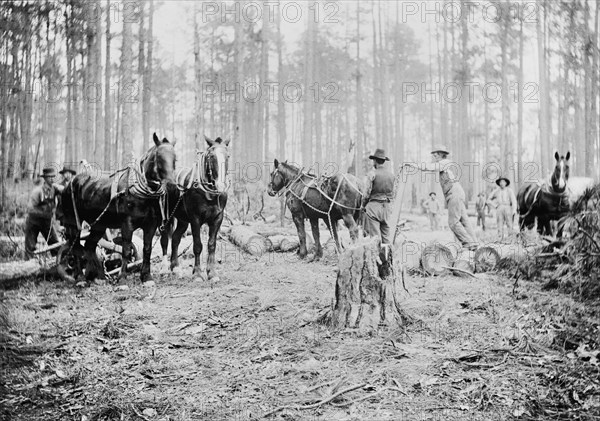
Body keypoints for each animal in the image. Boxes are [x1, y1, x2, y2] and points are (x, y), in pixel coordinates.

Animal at [57, 131, 177, 282]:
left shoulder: (151, 224)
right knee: (76, 247)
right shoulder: (126, 223)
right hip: (73, 222)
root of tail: (70, 183)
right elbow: (126, 250)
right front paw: (123, 278)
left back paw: (100, 277)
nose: (172, 186)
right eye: (159, 157)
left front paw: (146, 276)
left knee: (89, 247)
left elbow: (147, 249)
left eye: (175, 159)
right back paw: (80, 278)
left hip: (99, 225)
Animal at [159, 135, 230, 278]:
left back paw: (175, 267)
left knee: (175, 238)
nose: (220, 186)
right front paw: (197, 273)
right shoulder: (195, 219)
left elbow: (212, 245)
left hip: (182, 220)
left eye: (228, 156)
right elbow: (197, 245)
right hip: (165, 216)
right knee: (164, 239)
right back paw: (164, 268)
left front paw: (212, 273)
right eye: (211, 156)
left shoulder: (217, 219)